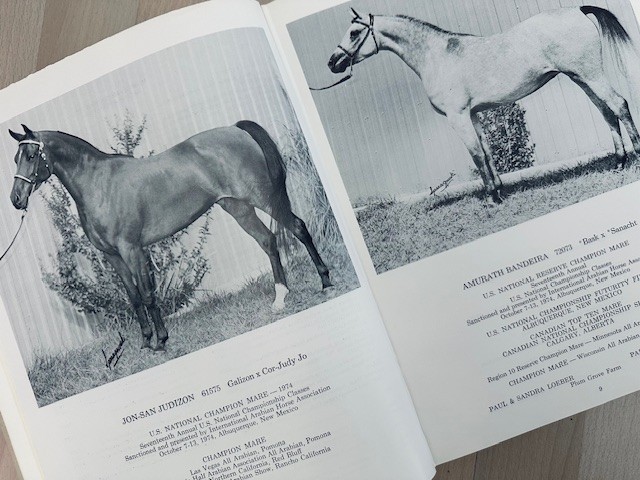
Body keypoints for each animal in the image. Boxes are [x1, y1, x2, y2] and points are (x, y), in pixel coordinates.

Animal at [8, 122, 332, 351]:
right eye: (15, 157)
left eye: (31, 155)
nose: (16, 199)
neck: (100, 185)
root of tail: (236, 129)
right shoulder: (113, 256)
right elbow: (134, 297)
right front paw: (145, 342)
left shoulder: (132, 250)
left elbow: (148, 294)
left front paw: (162, 340)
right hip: (238, 208)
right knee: (268, 241)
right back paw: (280, 297)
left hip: (262, 198)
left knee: (298, 227)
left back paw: (325, 282)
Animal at [327, 6, 640, 203]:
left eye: (354, 33)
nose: (333, 62)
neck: (437, 56)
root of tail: (577, 10)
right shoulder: (474, 114)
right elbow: (487, 152)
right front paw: (499, 191)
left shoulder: (458, 116)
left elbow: (476, 155)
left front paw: (491, 198)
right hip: (580, 78)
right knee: (606, 112)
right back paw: (619, 163)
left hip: (591, 74)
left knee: (619, 105)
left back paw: (633, 155)